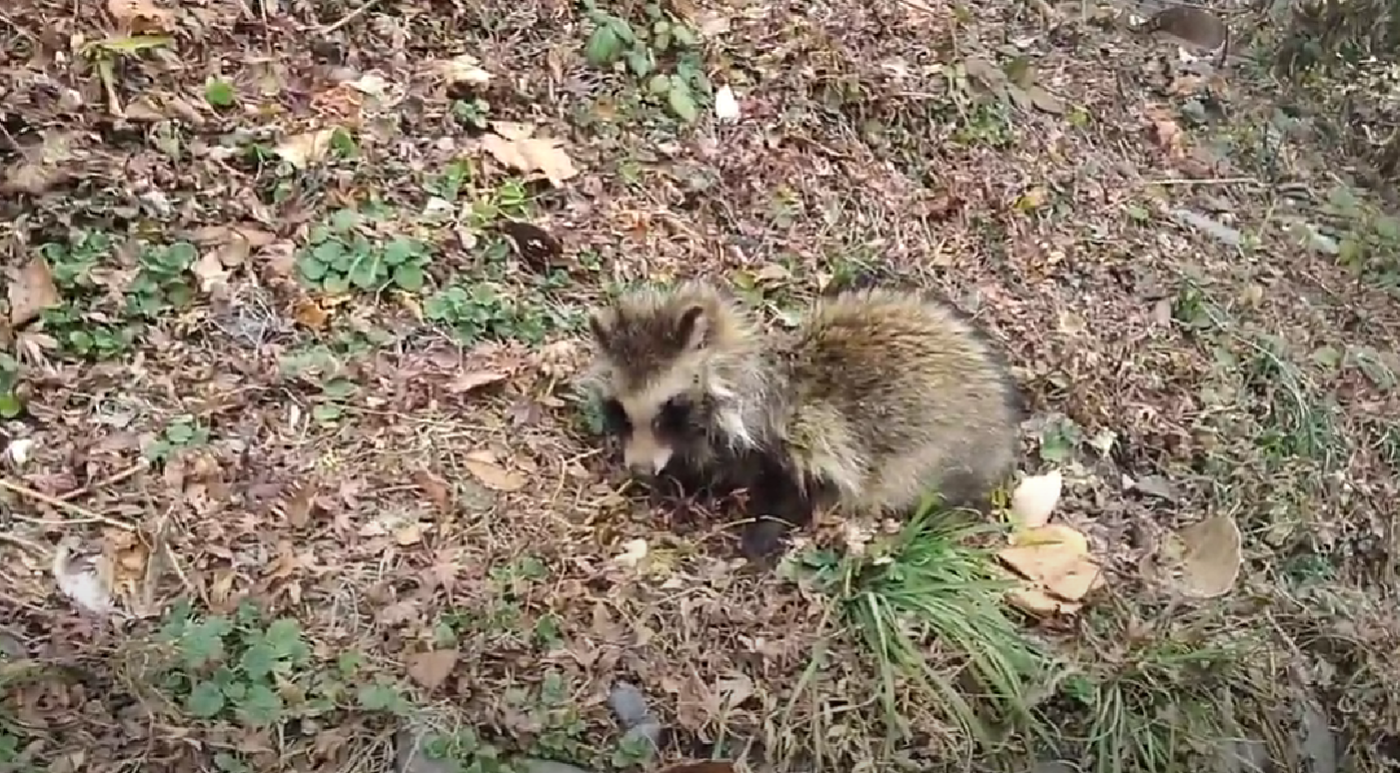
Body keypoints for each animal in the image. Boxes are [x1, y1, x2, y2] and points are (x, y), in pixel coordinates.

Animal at [585, 282, 1024, 554]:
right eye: (620, 411)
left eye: (670, 408)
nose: (640, 470)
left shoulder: (805, 438)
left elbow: (798, 488)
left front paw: (762, 530)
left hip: (935, 458)